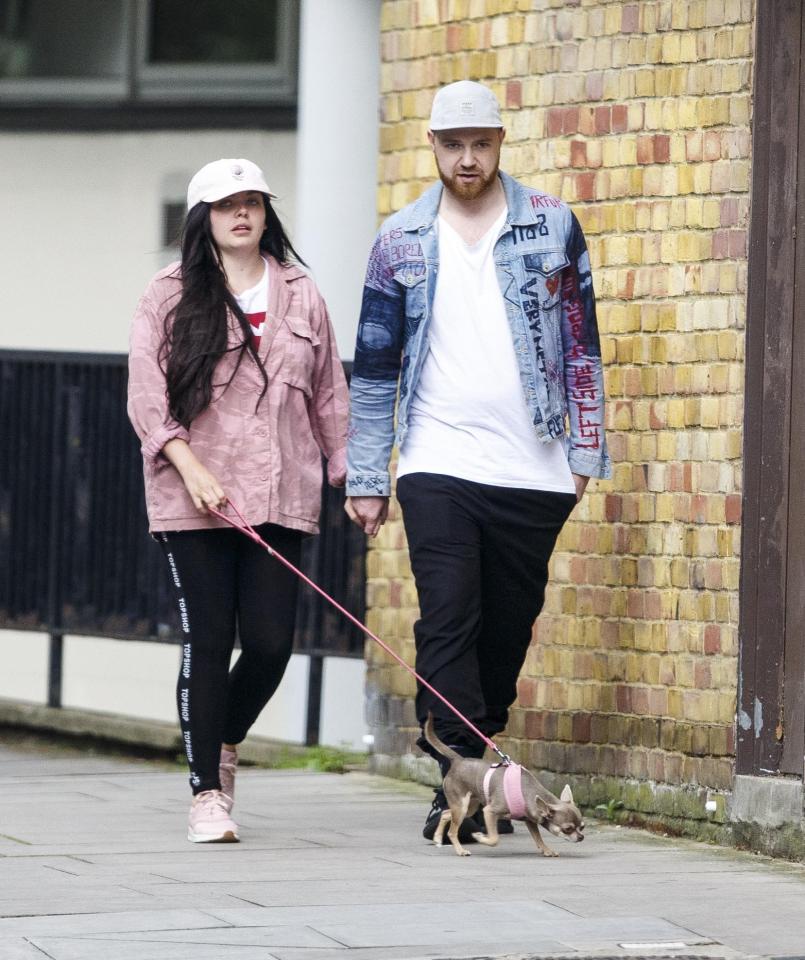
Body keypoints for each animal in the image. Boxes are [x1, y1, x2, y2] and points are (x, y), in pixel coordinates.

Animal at [420, 712, 584, 856]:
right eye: (568, 829)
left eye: (582, 827)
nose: (581, 837)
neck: (527, 792)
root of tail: (459, 760)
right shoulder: (489, 812)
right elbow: (494, 839)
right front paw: (480, 837)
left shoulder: (529, 821)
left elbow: (538, 839)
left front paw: (547, 850)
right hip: (462, 807)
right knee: (452, 831)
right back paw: (460, 850)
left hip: (468, 808)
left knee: (445, 814)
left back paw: (437, 837)